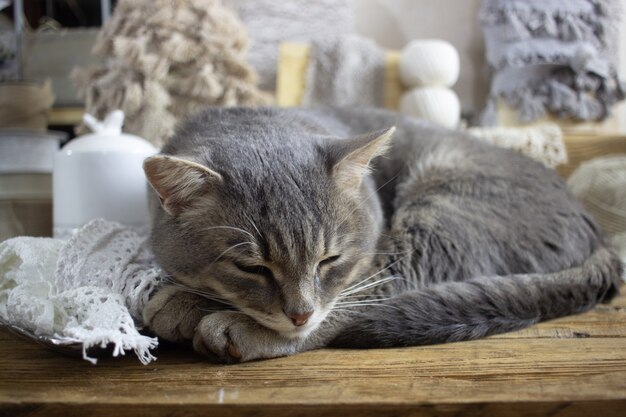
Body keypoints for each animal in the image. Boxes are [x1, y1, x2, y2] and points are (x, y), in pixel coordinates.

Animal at [140, 106, 620, 360]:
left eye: (329, 260)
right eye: (251, 267)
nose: (300, 314)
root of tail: (597, 234)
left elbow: (341, 304)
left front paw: (187, 304)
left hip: (437, 219)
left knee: (367, 300)